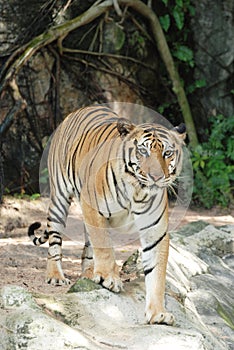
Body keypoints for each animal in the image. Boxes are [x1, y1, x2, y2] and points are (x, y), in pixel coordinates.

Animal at [28, 104, 186, 326]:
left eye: (168, 153)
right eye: (143, 151)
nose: (156, 177)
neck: (137, 191)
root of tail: (80, 109)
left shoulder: (155, 231)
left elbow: (156, 273)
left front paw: (158, 313)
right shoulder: (94, 209)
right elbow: (104, 247)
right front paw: (108, 278)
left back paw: (88, 273)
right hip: (59, 197)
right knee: (55, 239)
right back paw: (56, 275)